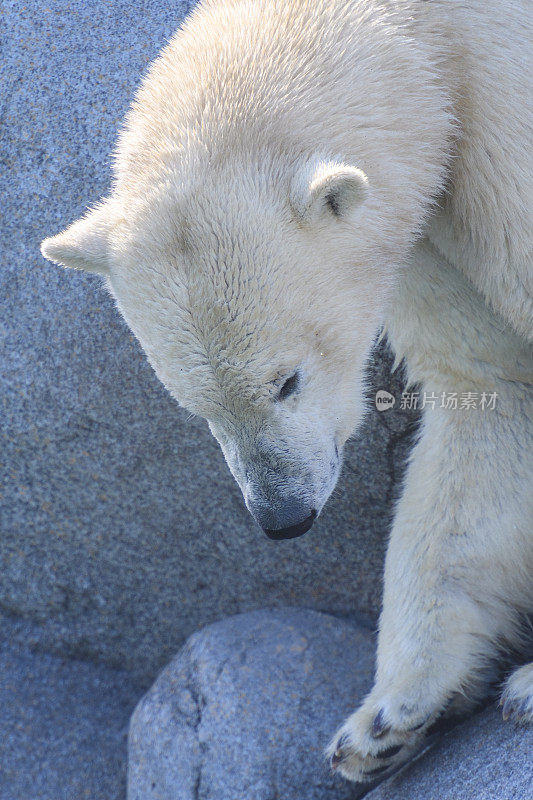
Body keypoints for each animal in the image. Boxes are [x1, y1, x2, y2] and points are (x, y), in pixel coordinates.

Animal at [39, 0, 528, 788]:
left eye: (286, 379)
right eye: (195, 404)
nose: (284, 517)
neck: (428, 37)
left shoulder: (500, 124)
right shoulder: (426, 215)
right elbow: (488, 386)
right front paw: (382, 721)